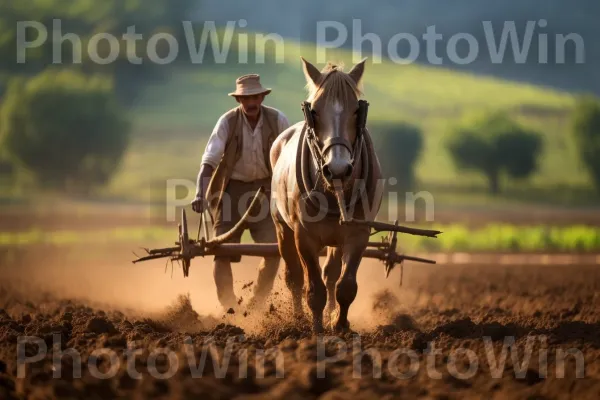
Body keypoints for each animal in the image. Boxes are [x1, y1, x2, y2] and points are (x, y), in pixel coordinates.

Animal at [268, 55, 382, 332]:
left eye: (356, 110)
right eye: (315, 110)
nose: (338, 168)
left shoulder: (357, 234)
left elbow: (345, 285)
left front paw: (339, 325)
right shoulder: (304, 237)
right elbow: (313, 288)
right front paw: (316, 328)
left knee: (331, 274)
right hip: (282, 228)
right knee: (294, 277)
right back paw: (298, 317)